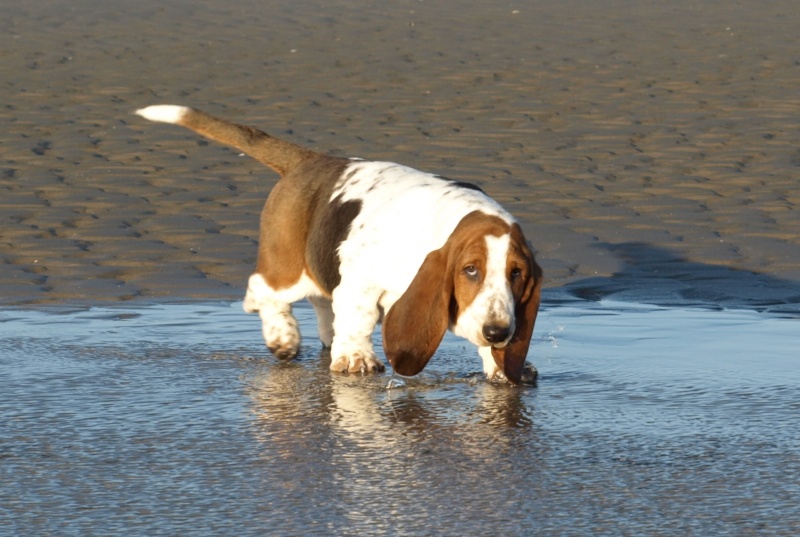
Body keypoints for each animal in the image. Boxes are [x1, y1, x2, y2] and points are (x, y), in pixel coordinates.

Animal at [136, 103, 544, 382]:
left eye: (517, 274)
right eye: (470, 270)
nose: (499, 332)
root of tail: (312, 161)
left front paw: (504, 368)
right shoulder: (362, 281)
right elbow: (359, 318)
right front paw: (355, 359)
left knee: (319, 302)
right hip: (286, 270)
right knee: (260, 292)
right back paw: (282, 337)